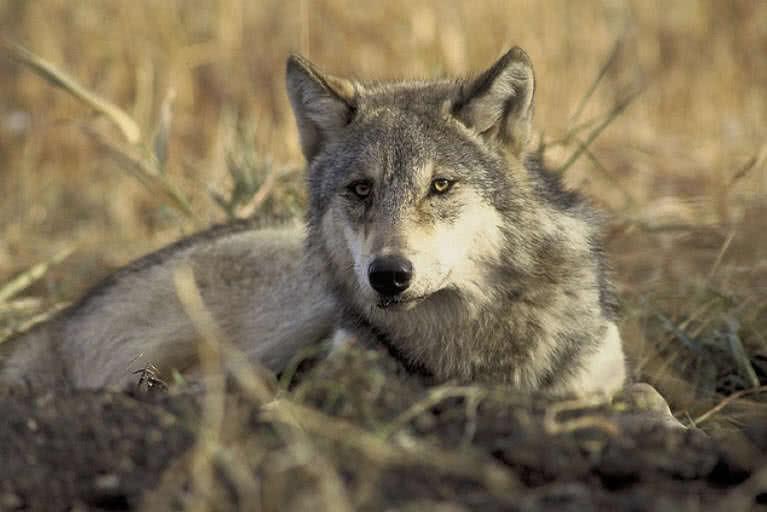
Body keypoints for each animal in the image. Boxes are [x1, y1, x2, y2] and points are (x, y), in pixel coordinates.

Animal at [0, 48, 626, 398]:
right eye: (361, 189)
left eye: (441, 186)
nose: (388, 275)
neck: (468, 347)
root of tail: (59, 321)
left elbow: (632, 394)